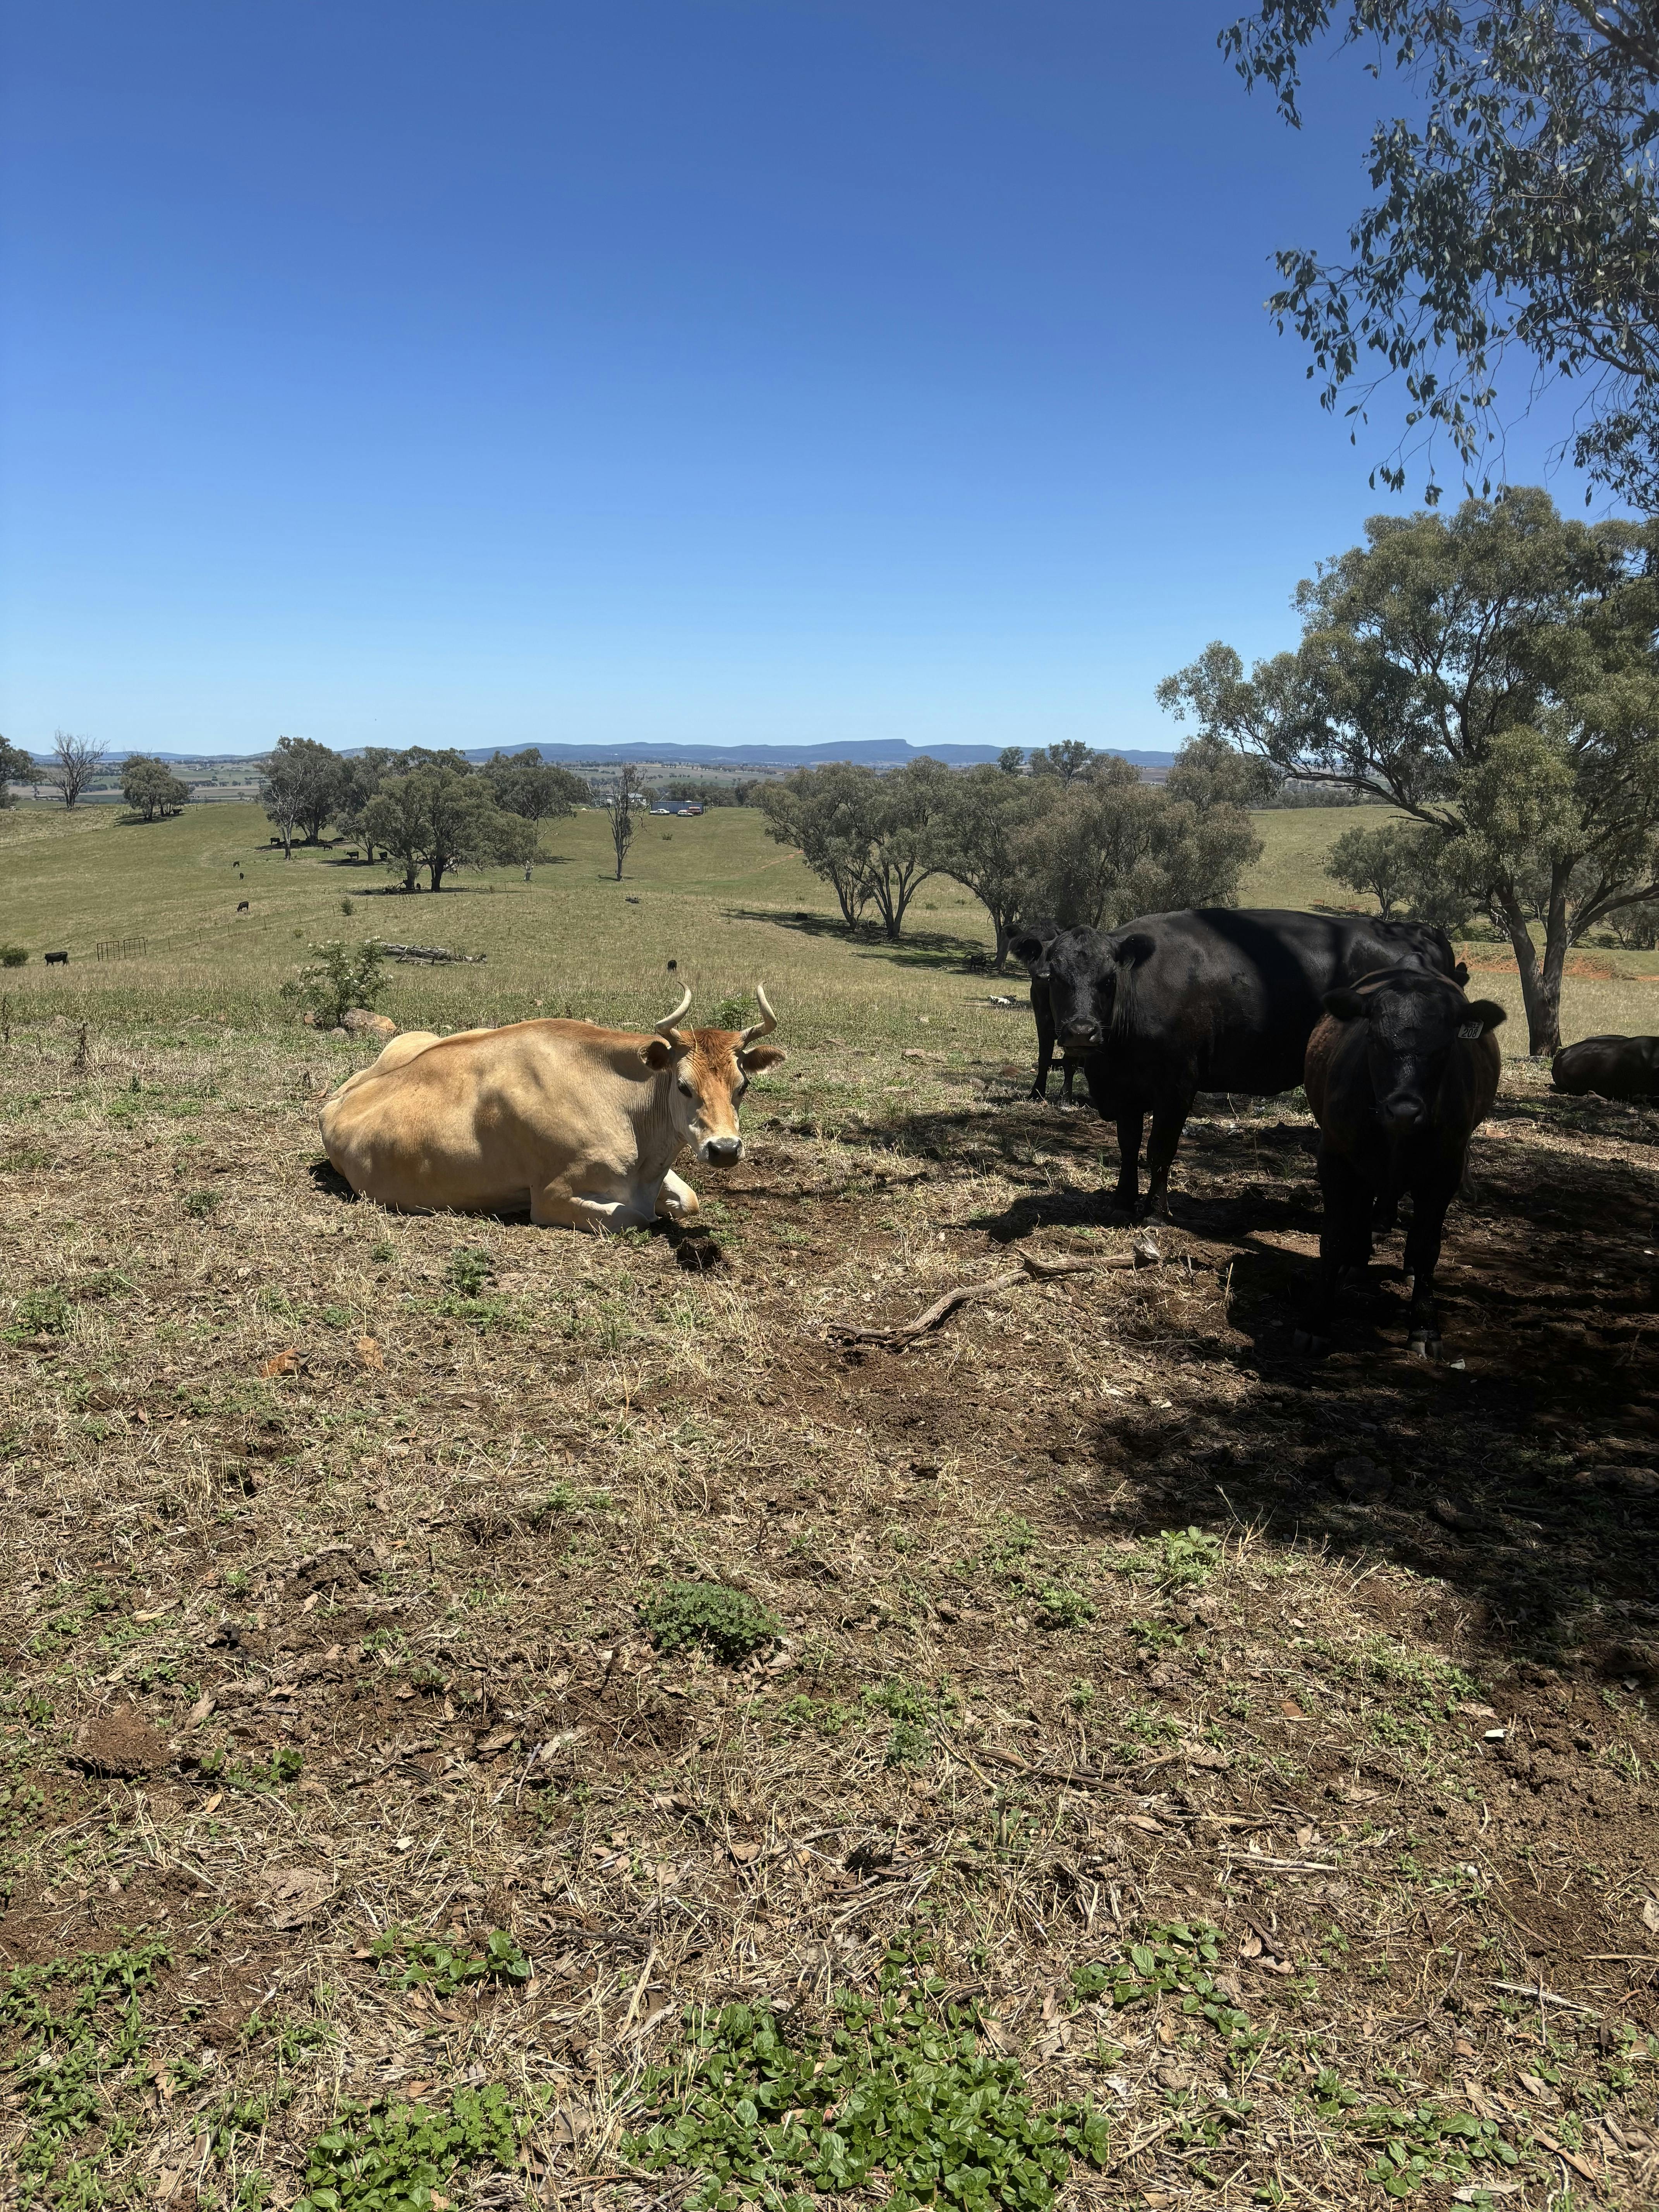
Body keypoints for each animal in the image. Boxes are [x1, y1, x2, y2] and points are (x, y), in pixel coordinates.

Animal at [318, 984, 785, 1231]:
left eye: (742, 1086)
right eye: (685, 1087)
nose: (724, 1149)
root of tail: (333, 1104)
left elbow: (688, 1200)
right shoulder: (551, 1197)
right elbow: (638, 1215)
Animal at [1010, 908, 1459, 1216]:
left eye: (1109, 979)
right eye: (1053, 977)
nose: (1081, 1032)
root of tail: (1419, 932)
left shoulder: (1178, 1085)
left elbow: (1160, 1149)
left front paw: (1156, 1211)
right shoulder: (1126, 1089)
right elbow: (1128, 1144)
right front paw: (1123, 1200)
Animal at [1303, 966, 1505, 1354]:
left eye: (1445, 1047)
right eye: (1374, 1039)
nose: (1404, 1110)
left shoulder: (1445, 1170)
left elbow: (1426, 1245)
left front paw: (1425, 1327)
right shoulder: (1335, 1158)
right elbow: (1333, 1238)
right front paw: (1317, 1322)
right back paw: (1357, 1262)